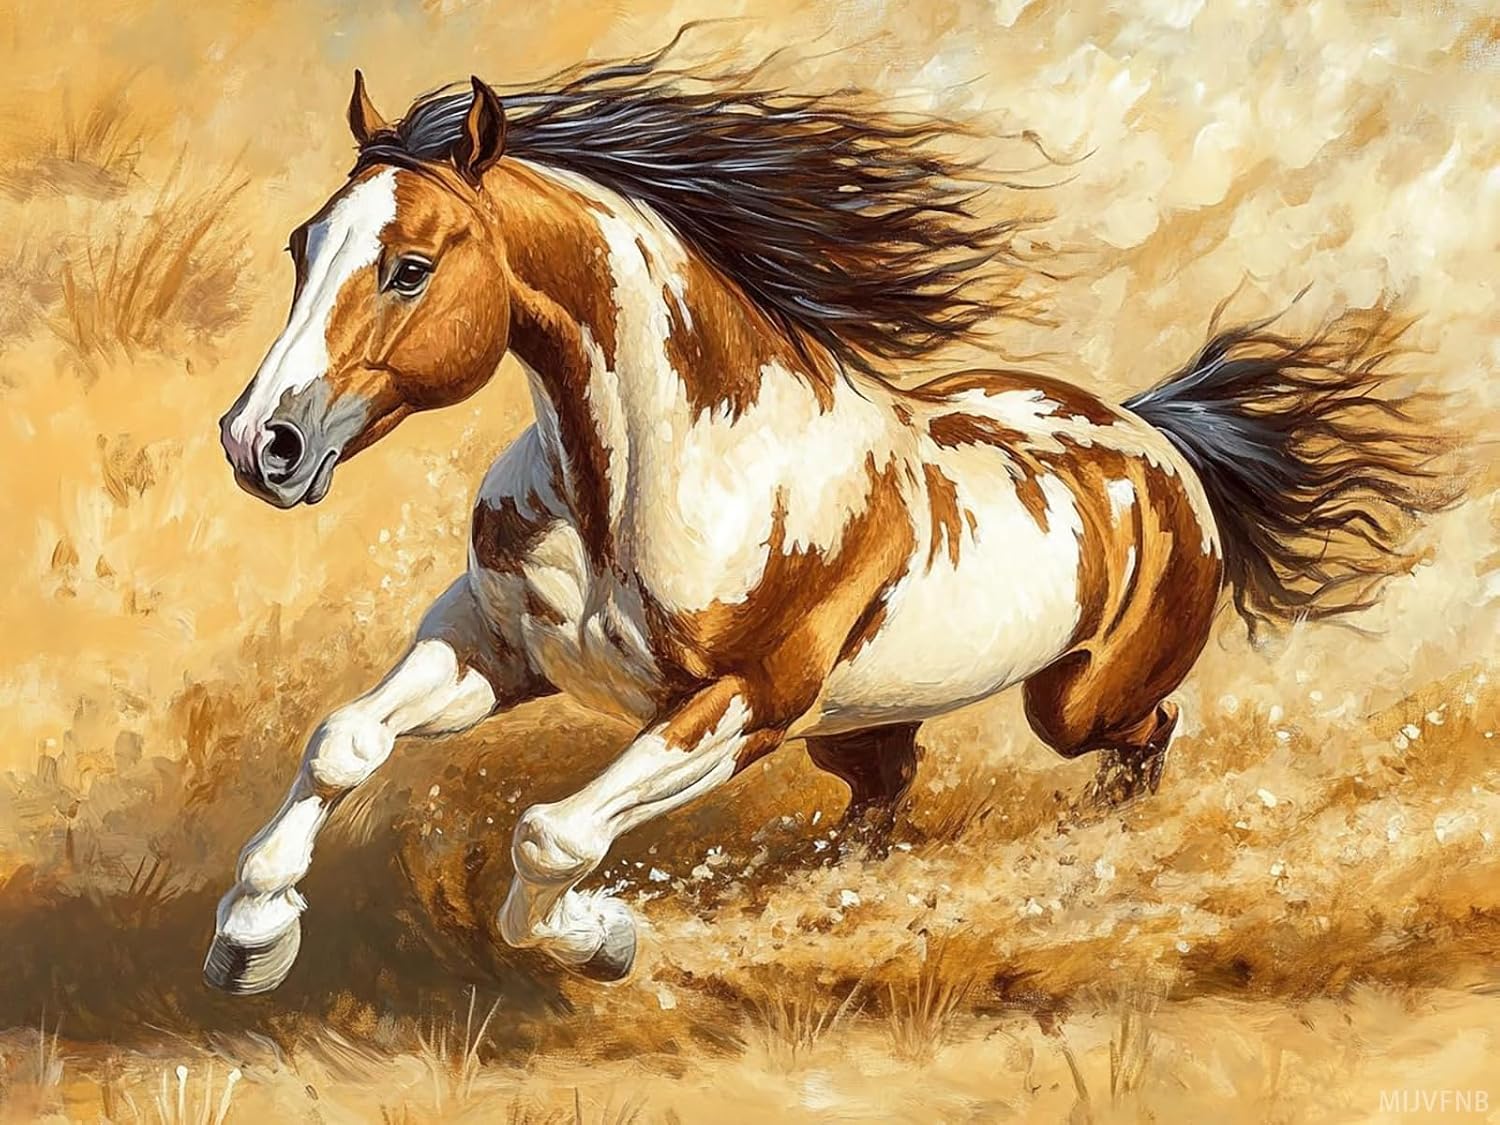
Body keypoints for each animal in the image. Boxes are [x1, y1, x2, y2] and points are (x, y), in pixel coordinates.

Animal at [204, 50, 1458, 995]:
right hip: (861, 722)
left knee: (1142, 740)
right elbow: (345, 740)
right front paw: (250, 942)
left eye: (411, 267)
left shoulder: (744, 703)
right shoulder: (495, 643)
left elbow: (553, 833)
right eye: (301, 247)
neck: (653, 477)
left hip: (1074, 703)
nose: (260, 444)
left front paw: (603, 939)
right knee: (886, 792)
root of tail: (1159, 439)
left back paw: (1099, 847)